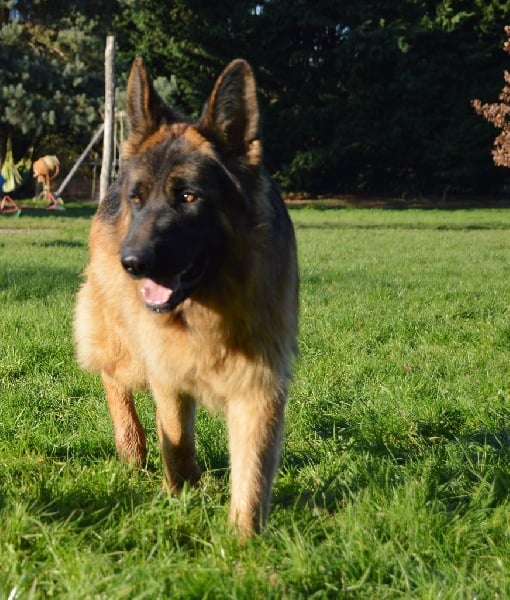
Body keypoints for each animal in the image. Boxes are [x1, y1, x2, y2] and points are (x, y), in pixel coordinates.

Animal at [75, 57, 298, 536]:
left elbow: (252, 475)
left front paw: (243, 541)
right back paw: (131, 447)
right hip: (124, 339)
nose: (132, 262)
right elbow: (175, 441)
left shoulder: (259, 386)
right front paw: (180, 495)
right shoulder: (166, 369)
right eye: (138, 199)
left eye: (189, 196)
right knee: (113, 375)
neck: (206, 310)